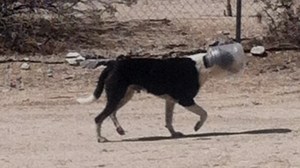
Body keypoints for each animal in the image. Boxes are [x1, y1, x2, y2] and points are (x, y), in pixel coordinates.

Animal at [77, 45, 244, 142]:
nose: (244, 63)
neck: (204, 63)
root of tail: (112, 64)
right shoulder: (185, 100)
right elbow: (204, 113)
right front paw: (197, 127)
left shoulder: (170, 101)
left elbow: (168, 120)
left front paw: (174, 133)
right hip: (117, 95)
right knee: (99, 117)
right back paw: (100, 138)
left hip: (125, 96)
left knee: (111, 113)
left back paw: (119, 129)